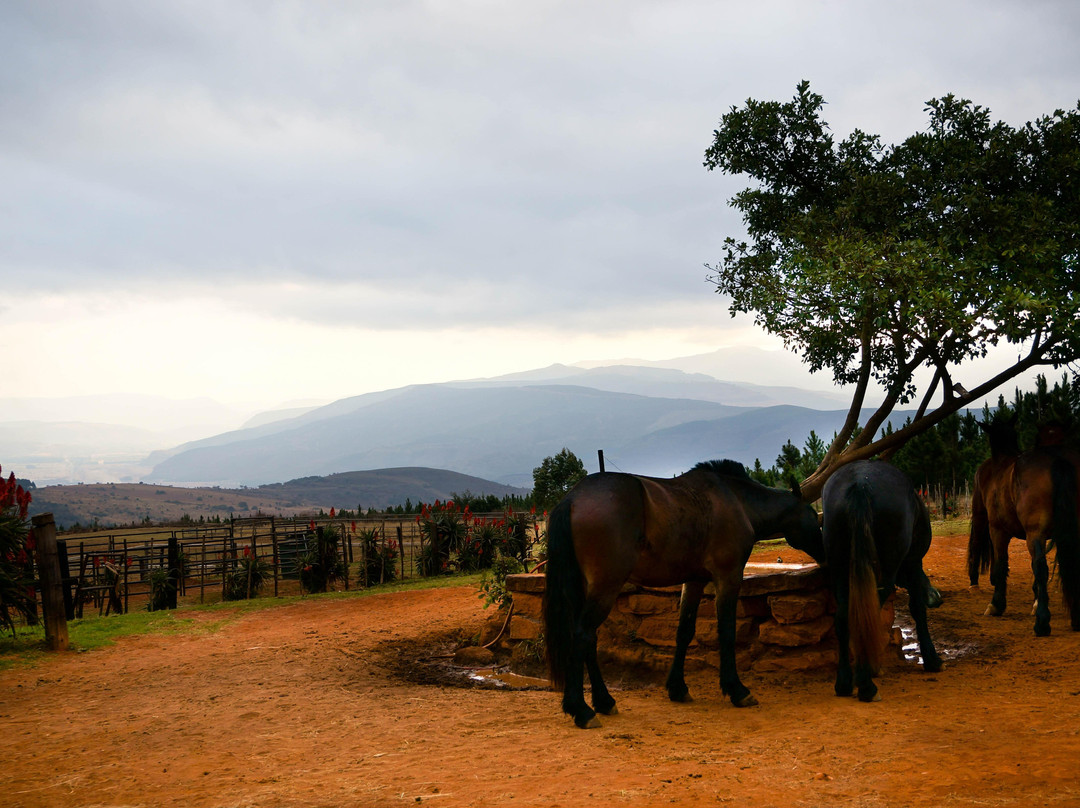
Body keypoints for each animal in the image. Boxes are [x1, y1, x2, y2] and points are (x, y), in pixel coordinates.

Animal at [543, 459, 823, 729]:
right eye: (813, 515)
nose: (824, 551)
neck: (736, 501)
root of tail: (572, 499)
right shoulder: (728, 576)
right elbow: (727, 631)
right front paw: (736, 689)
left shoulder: (694, 581)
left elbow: (684, 632)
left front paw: (677, 688)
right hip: (606, 586)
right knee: (581, 635)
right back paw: (581, 710)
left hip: (586, 588)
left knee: (589, 639)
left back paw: (604, 701)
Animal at [821, 459, 943, 702]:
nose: (936, 597)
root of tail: (860, 483)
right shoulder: (913, 562)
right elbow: (917, 608)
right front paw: (931, 658)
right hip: (887, 566)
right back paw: (866, 684)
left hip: (839, 567)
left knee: (844, 617)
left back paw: (845, 683)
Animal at [967, 415, 1080, 635]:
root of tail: (1057, 458)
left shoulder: (998, 530)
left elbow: (1001, 564)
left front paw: (996, 604)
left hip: (1024, 531)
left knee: (1040, 567)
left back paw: (1042, 623)